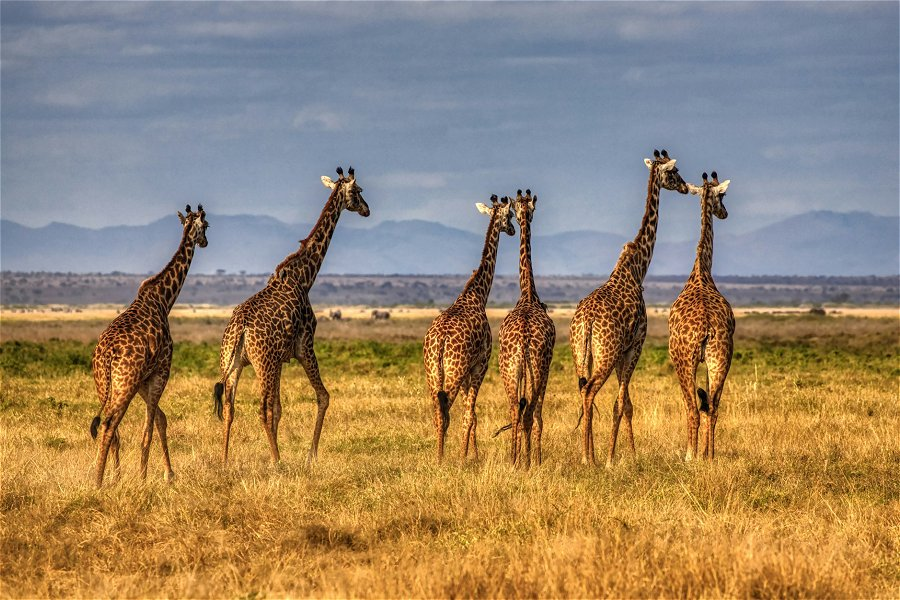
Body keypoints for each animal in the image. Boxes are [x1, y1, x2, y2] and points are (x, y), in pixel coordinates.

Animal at [89, 204, 209, 487]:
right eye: (208, 225)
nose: (205, 242)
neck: (164, 300)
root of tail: (106, 354)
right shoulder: (161, 370)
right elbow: (149, 430)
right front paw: (144, 479)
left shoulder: (144, 379)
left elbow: (160, 420)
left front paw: (166, 473)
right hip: (124, 382)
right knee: (109, 424)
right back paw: (98, 481)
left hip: (104, 383)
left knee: (112, 429)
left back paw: (112, 477)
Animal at [214, 166, 369, 466]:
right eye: (358, 191)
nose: (367, 210)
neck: (304, 277)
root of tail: (239, 329)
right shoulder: (304, 345)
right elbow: (322, 397)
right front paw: (311, 455)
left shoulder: (280, 358)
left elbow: (279, 407)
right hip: (262, 363)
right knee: (261, 408)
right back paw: (277, 462)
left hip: (233, 363)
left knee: (229, 407)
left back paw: (225, 460)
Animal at [423, 195, 515, 462]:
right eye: (510, 216)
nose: (513, 230)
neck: (477, 295)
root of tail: (440, 341)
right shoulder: (480, 365)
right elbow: (470, 415)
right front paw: (467, 457)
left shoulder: (467, 372)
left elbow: (471, 415)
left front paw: (473, 453)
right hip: (453, 371)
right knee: (446, 413)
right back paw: (442, 458)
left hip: (433, 373)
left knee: (437, 413)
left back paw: (439, 455)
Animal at [570, 150, 688, 466]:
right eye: (674, 172)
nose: (686, 187)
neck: (637, 269)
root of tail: (586, 321)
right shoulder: (635, 344)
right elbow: (622, 403)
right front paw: (617, 458)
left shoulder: (623, 350)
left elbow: (626, 404)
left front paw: (627, 454)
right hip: (606, 353)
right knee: (590, 392)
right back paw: (590, 459)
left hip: (582, 354)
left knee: (583, 392)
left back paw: (588, 455)